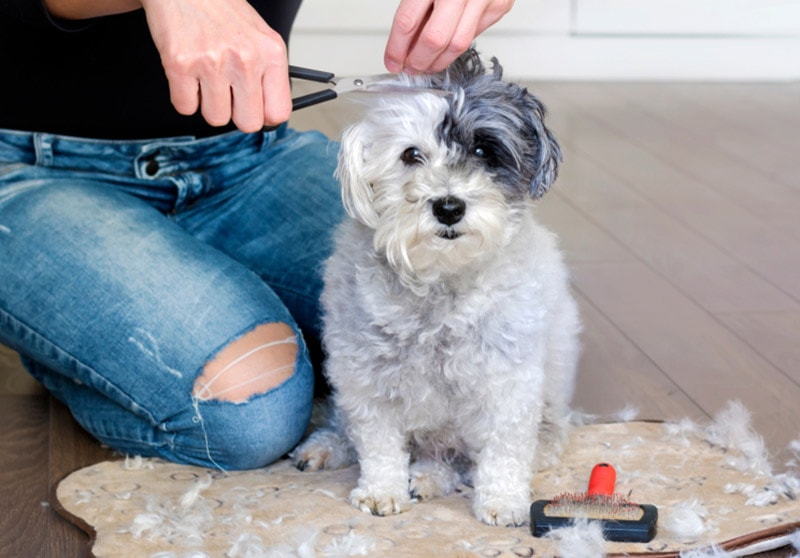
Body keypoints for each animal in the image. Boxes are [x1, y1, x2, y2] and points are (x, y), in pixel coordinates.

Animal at [290, 49, 580, 528]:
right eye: (411, 155)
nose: (448, 206)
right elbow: (379, 444)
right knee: (353, 430)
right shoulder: (366, 380)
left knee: (459, 460)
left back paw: (428, 476)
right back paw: (328, 447)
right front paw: (381, 492)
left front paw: (503, 501)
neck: (439, 282)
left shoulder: (510, 385)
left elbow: (503, 452)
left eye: (482, 150)